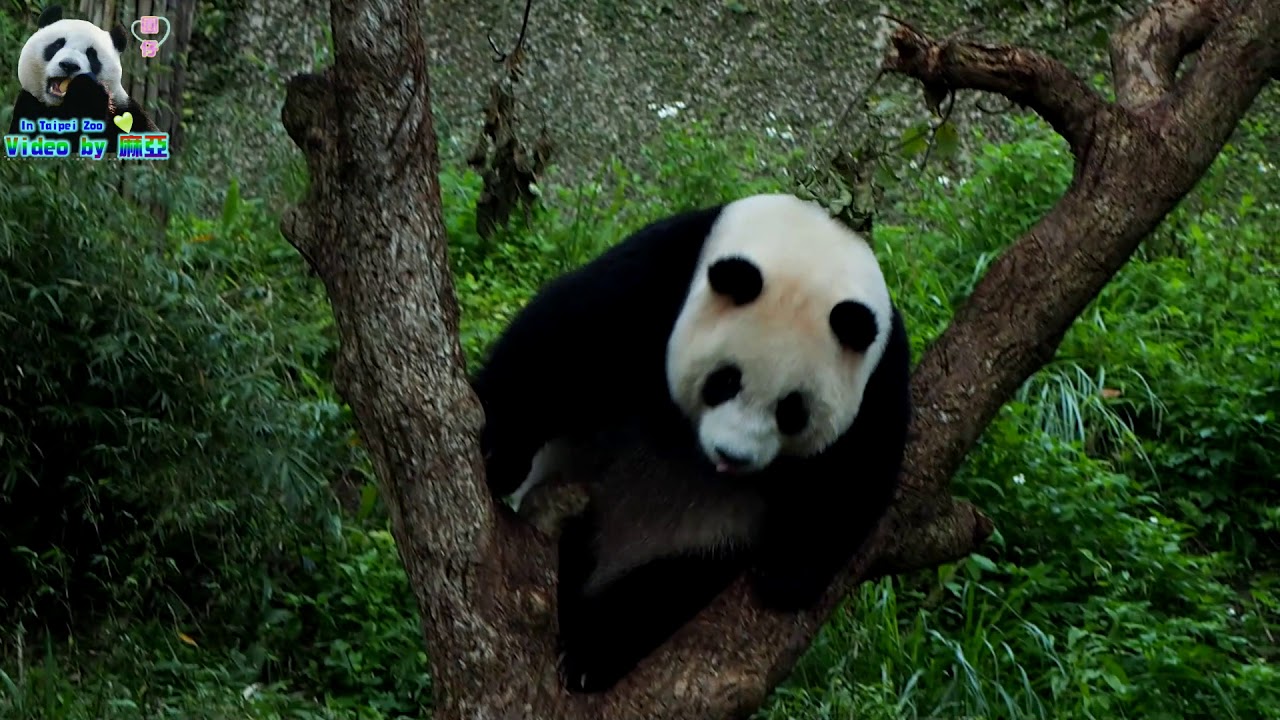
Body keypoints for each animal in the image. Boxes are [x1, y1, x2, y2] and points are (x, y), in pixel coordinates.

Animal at [9, 4, 157, 157]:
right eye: (57, 45)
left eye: (92, 55)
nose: (69, 65)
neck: (60, 106)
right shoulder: (28, 107)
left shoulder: (127, 113)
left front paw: (86, 91)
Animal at [469, 192, 912, 693]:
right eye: (725, 380)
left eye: (791, 410)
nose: (732, 456)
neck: (811, 246)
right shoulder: (661, 275)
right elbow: (558, 347)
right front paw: (497, 453)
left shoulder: (879, 376)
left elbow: (854, 476)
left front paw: (787, 575)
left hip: (698, 545)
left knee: (663, 595)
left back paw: (593, 653)